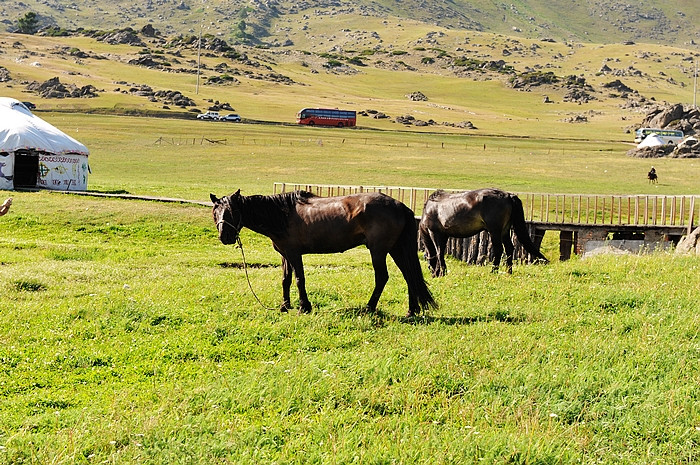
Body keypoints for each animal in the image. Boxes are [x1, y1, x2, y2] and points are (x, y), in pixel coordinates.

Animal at [211, 188, 434, 316]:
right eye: (216, 212)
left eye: (233, 211)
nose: (225, 236)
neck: (281, 215)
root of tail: (400, 205)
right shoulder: (284, 254)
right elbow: (286, 280)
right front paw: (284, 306)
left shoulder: (294, 254)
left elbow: (299, 279)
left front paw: (304, 307)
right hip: (396, 249)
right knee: (409, 276)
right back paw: (411, 311)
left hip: (378, 251)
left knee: (382, 277)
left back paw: (369, 307)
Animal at [418, 188, 548, 276]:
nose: (433, 275)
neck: (429, 209)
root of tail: (508, 195)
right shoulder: (444, 235)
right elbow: (440, 252)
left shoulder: (434, 233)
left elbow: (438, 252)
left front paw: (442, 272)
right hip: (504, 231)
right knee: (509, 248)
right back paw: (508, 271)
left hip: (494, 231)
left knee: (499, 249)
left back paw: (494, 271)